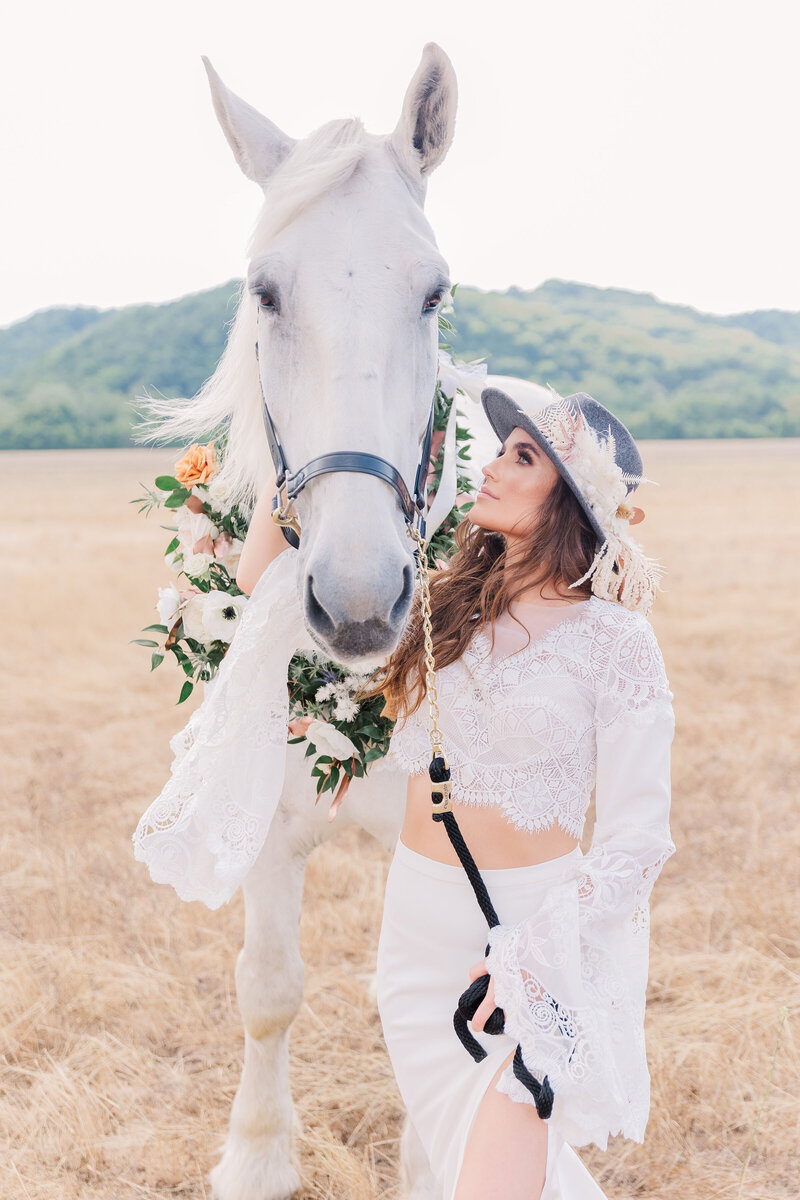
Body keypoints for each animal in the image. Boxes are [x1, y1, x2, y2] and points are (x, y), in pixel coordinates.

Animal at [136, 44, 551, 1200]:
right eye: (264, 291)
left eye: (434, 291)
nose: (361, 599)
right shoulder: (270, 822)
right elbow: (268, 986)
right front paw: (255, 1158)